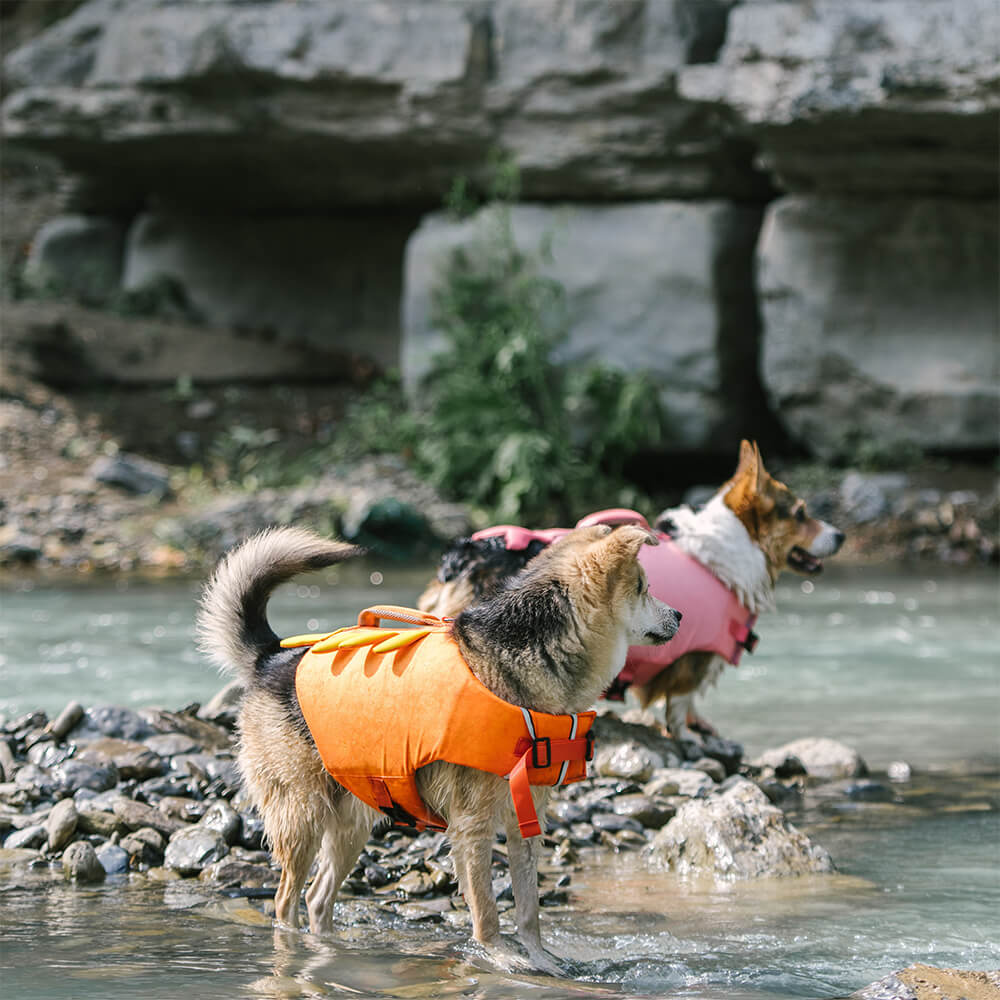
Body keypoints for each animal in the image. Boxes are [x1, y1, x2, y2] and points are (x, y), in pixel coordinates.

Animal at [195, 524, 680, 968]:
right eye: (644, 588)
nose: (678, 615)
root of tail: (272, 656)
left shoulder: (526, 821)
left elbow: (528, 907)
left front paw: (541, 960)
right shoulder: (472, 826)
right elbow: (487, 908)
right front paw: (497, 957)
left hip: (352, 821)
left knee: (317, 898)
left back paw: (332, 950)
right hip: (303, 817)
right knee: (285, 900)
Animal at [418, 442, 848, 740]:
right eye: (801, 514)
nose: (842, 535)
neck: (728, 553)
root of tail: (461, 556)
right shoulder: (694, 658)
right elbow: (679, 704)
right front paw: (688, 738)